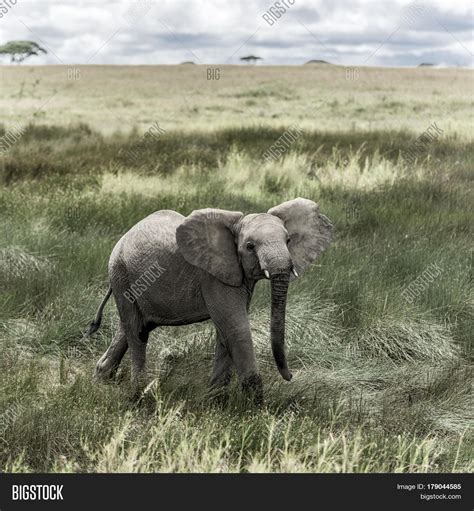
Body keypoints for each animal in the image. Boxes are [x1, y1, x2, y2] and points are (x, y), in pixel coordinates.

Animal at [89, 198, 334, 402]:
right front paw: (254, 408)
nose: (290, 375)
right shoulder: (213, 276)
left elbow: (225, 332)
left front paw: (215, 400)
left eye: (289, 240)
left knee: (133, 327)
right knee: (136, 331)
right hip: (120, 273)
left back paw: (102, 379)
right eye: (250, 247)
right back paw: (138, 396)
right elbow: (235, 327)